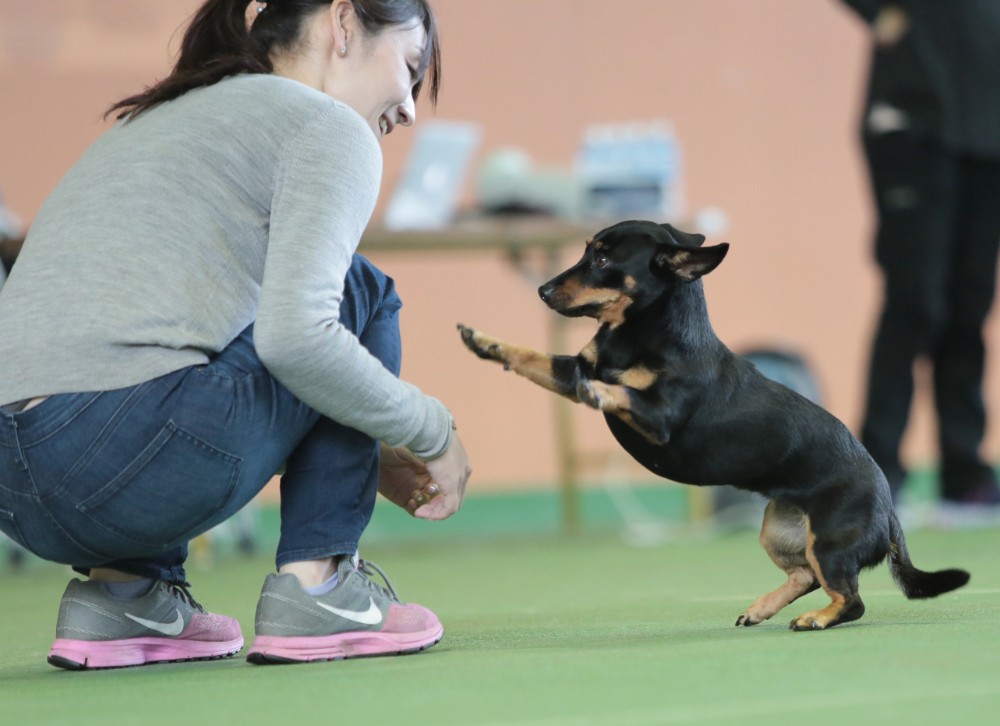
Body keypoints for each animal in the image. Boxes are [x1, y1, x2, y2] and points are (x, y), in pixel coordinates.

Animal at [458, 218, 968, 632]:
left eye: (601, 258)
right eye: (586, 252)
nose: (543, 290)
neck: (638, 334)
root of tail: (888, 505)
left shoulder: (657, 415)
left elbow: (617, 390)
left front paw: (597, 391)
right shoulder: (571, 368)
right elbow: (533, 358)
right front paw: (487, 343)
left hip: (829, 541)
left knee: (851, 599)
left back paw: (816, 619)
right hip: (780, 531)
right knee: (806, 575)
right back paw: (763, 608)